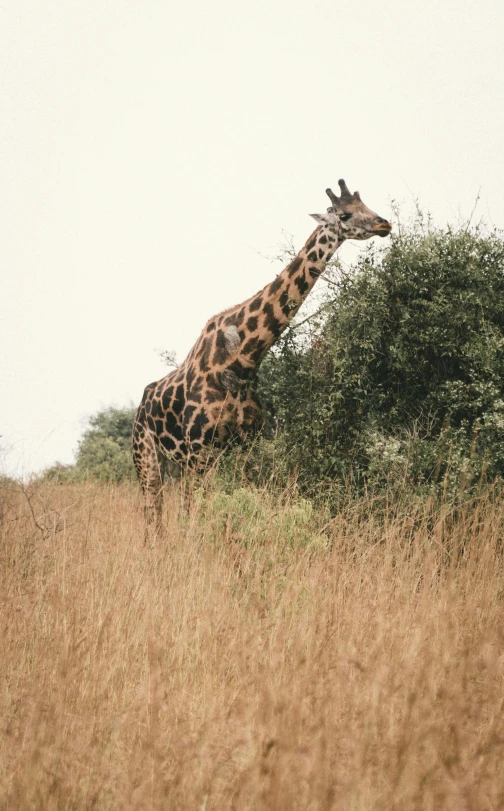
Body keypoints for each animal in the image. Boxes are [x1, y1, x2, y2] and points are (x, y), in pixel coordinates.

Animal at [133, 179, 390, 532]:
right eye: (345, 214)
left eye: (367, 205)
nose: (384, 224)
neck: (242, 362)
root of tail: (141, 405)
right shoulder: (199, 451)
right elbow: (196, 517)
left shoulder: (245, 448)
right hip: (147, 457)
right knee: (152, 514)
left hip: (175, 463)